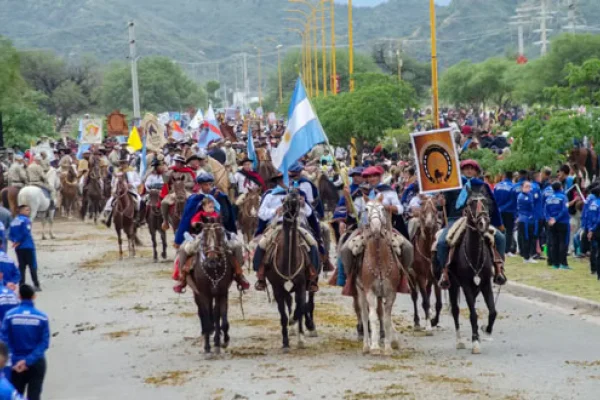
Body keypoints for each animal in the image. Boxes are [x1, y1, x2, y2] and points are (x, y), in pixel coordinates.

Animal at [179, 219, 233, 356]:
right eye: (203, 237)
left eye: (220, 234)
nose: (212, 260)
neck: (213, 270)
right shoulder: (203, 293)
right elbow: (207, 317)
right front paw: (207, 347)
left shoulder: (221, 292)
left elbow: (220, 317)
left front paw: (221, 342)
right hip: (197, 293)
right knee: (202, 313)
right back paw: (206, 333)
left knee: (213, 312)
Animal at [268, 189, 314, 352]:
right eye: (284, 200)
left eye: (299, 199)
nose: (294, 194)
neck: (289, 263)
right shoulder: (278, 288)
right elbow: (283, 315)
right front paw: (285, 342)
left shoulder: (302, 285)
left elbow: (300, 309)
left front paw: (301, 338)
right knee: (290, 303)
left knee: (305, 304)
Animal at [356, 198, 404, 356]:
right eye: (366, 209)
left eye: (383, 208)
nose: (376, 228)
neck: (378, 261)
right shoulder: (369, 292)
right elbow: (373, 318)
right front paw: (375, 347)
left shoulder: (390, 293)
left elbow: (387, 319)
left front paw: (388, 347)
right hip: (360, 291)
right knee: (365, 315)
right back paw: (366, 345)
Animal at [450, 192, 496, 354]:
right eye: (470, 203)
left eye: (486, 202)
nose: (483, 222)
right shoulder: (465, 285)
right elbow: (473, 314)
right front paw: (475, 342)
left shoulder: (486, 283)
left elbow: (493, 311)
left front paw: (486, 330)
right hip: (452, 285)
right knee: (455, 310)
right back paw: (459, 341)